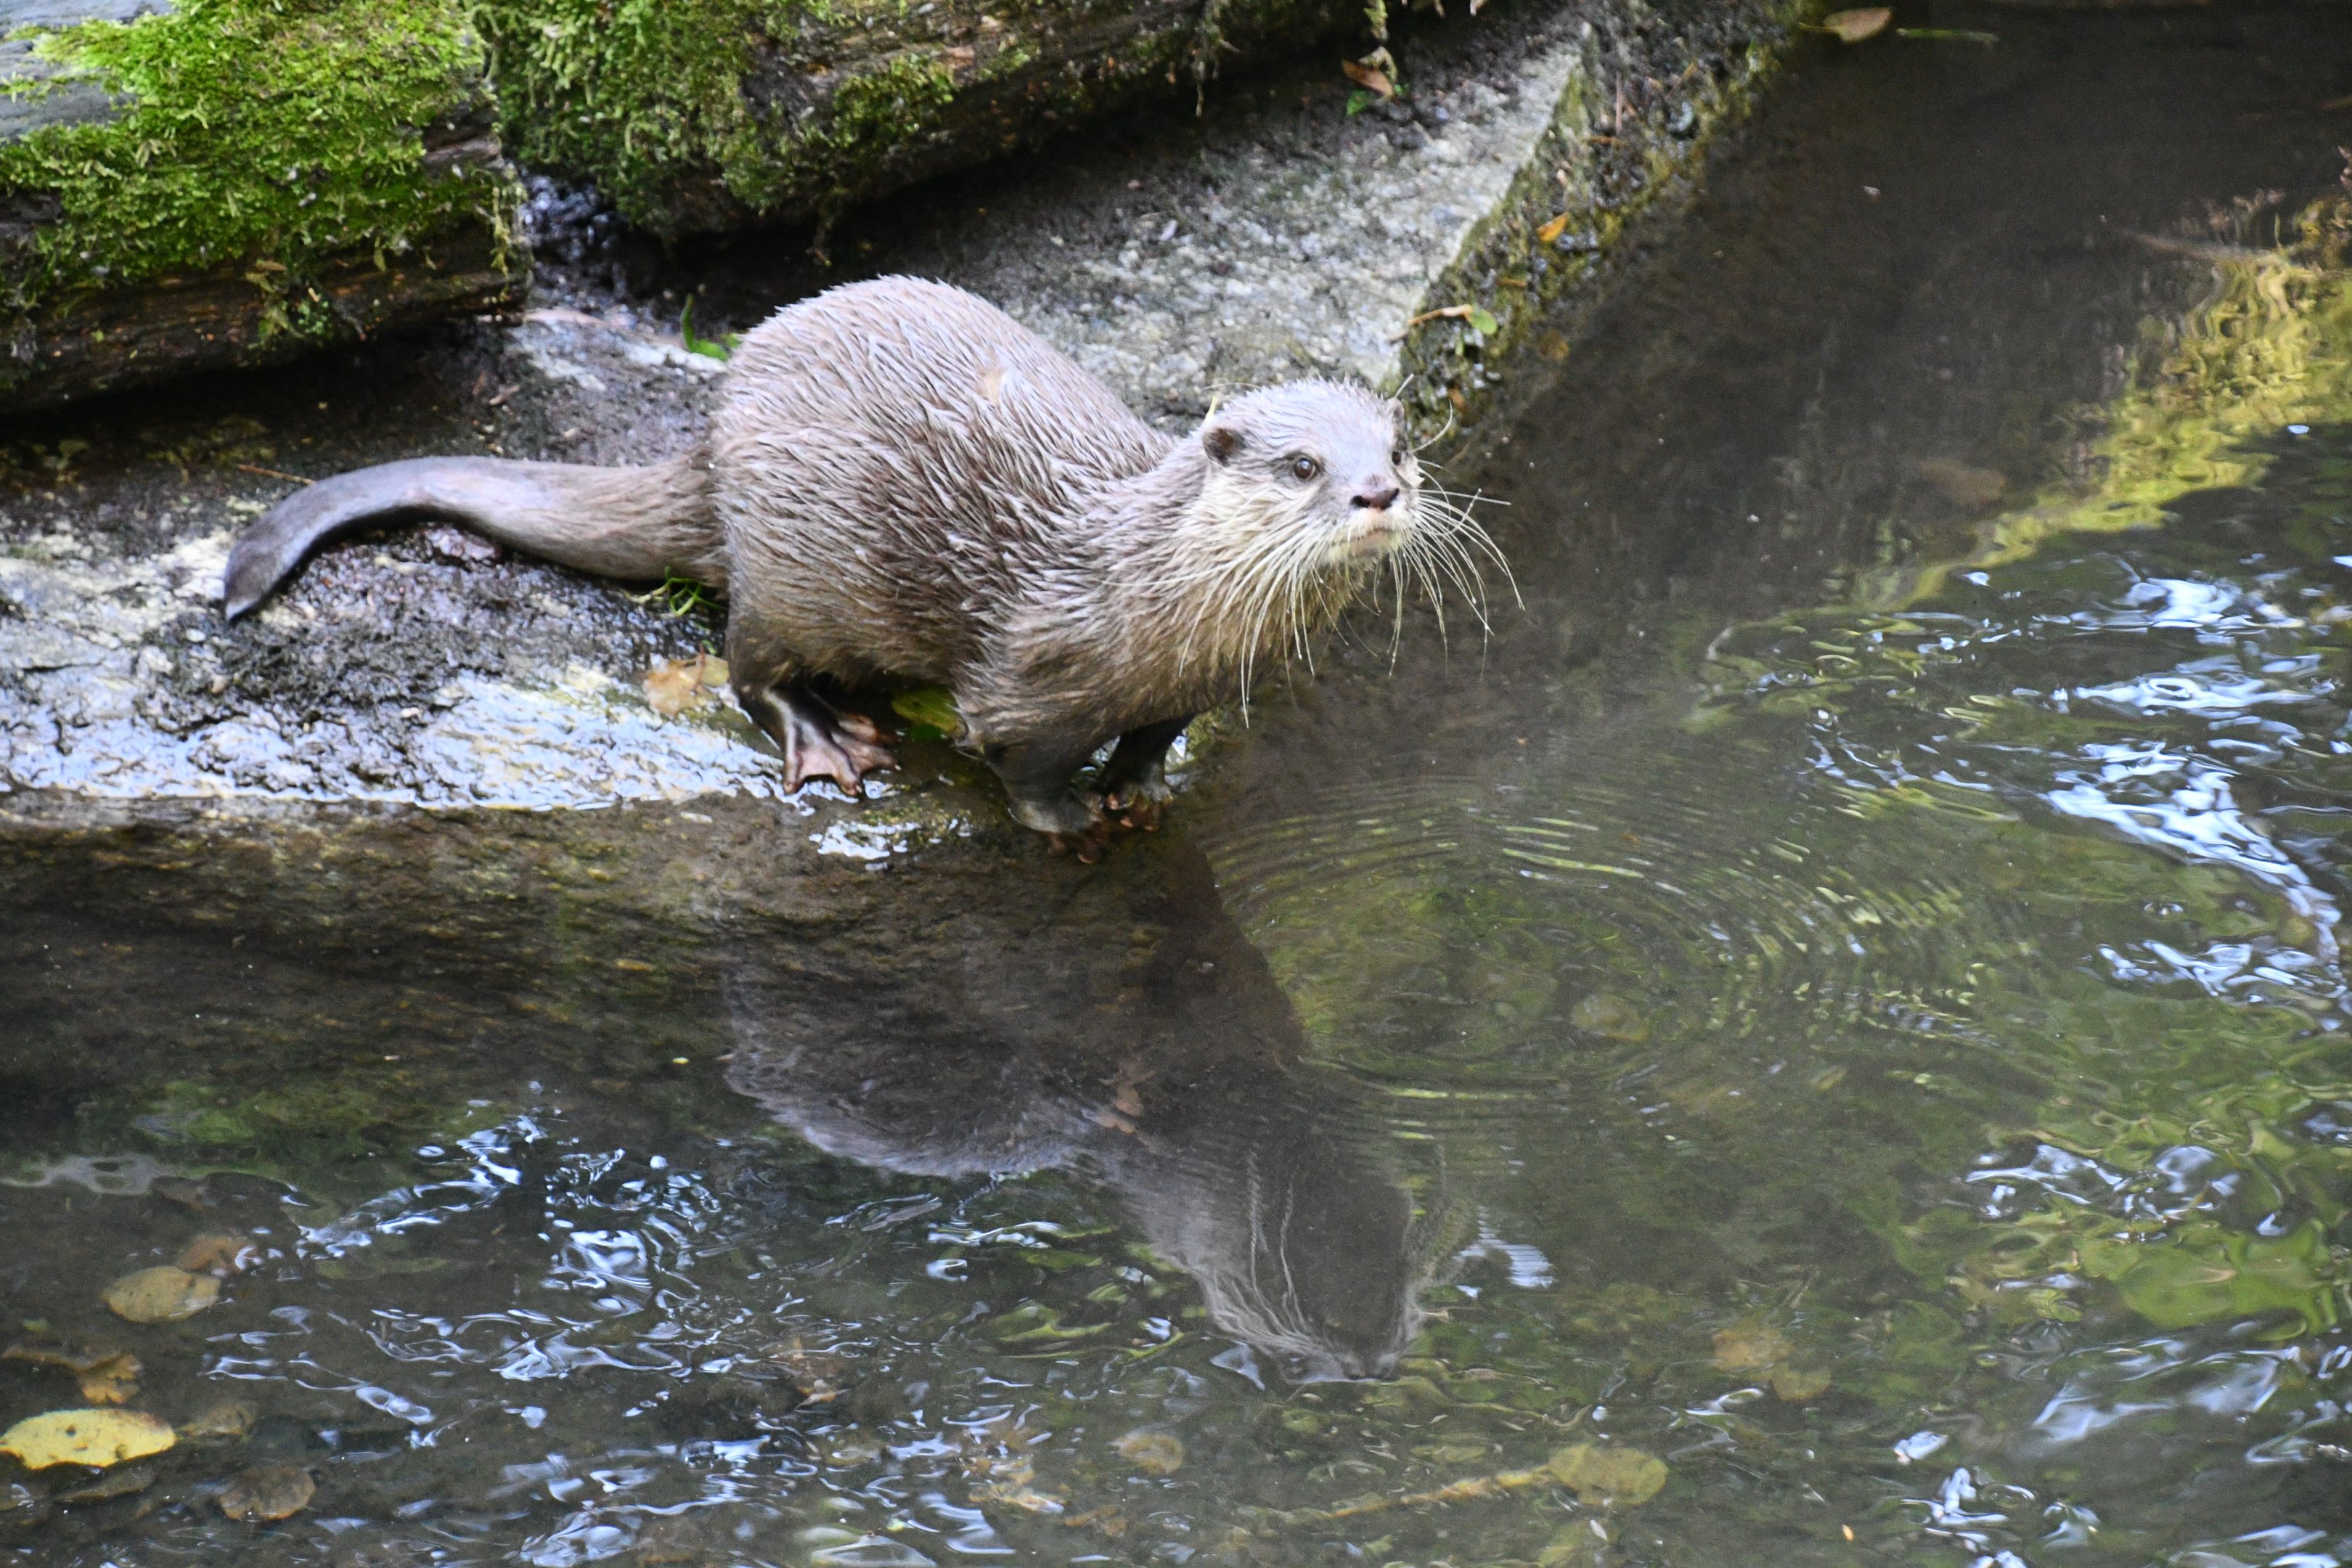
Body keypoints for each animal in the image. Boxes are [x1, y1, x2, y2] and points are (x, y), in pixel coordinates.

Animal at [223, 277, 1487, 850]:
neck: (1159, 593)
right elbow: (1018, 754)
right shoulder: (1032, 677)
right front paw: (1068, 817)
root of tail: (717, 430)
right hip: (795, 576)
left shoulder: (1185, 691)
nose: (1379, 493)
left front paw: (1139, 794)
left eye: (1399, 448)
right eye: (1302, 464)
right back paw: (832, 740)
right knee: (746, 663)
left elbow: (1152, 743)